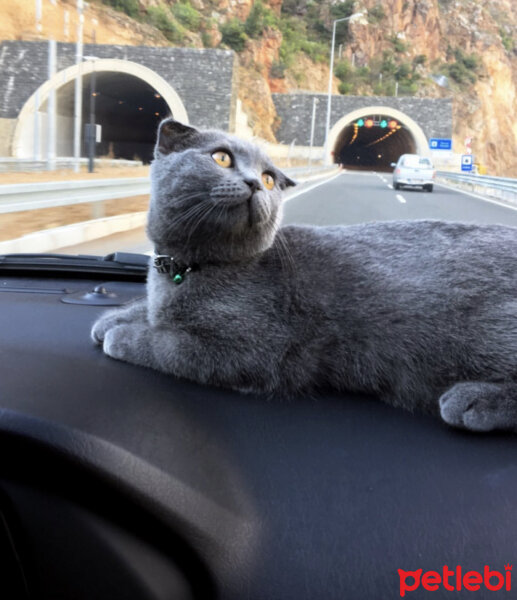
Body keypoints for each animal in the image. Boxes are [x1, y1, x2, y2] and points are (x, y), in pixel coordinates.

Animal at [92, 118, 516, 432]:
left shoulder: (249, 350)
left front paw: (122, 335)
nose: (253, 183)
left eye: (267, 179)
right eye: (222, 158)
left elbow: (166, 345)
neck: (187, 269)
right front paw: (114, 318)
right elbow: (151, 312)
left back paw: (472, 401)